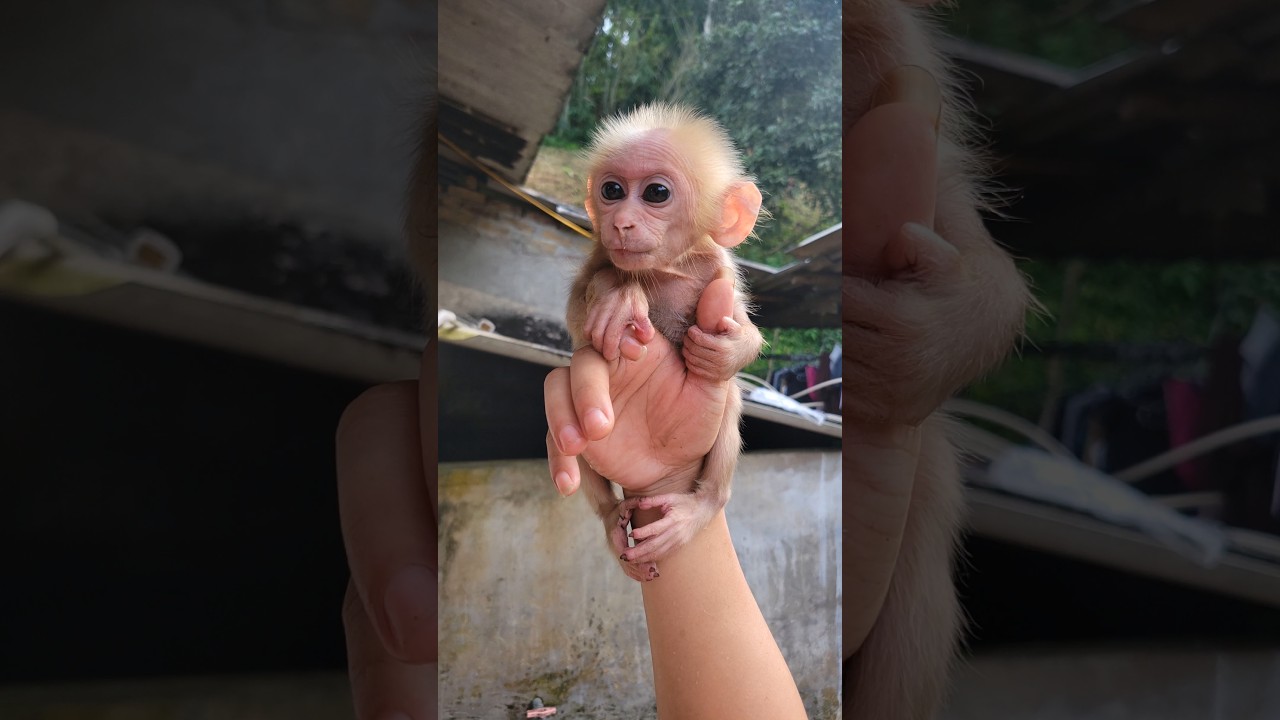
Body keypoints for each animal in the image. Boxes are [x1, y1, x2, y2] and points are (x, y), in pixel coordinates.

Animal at [565, 103, 765, 583]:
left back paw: (704, 505)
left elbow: (744, 329)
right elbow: (578, 314)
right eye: (612, 190)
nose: (620, 222)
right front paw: (617, 295)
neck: (667, 269)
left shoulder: (719, 269)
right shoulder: (601, 255)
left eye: (656, 193)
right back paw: (611, 519)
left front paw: (727, 352)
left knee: (730, 402)